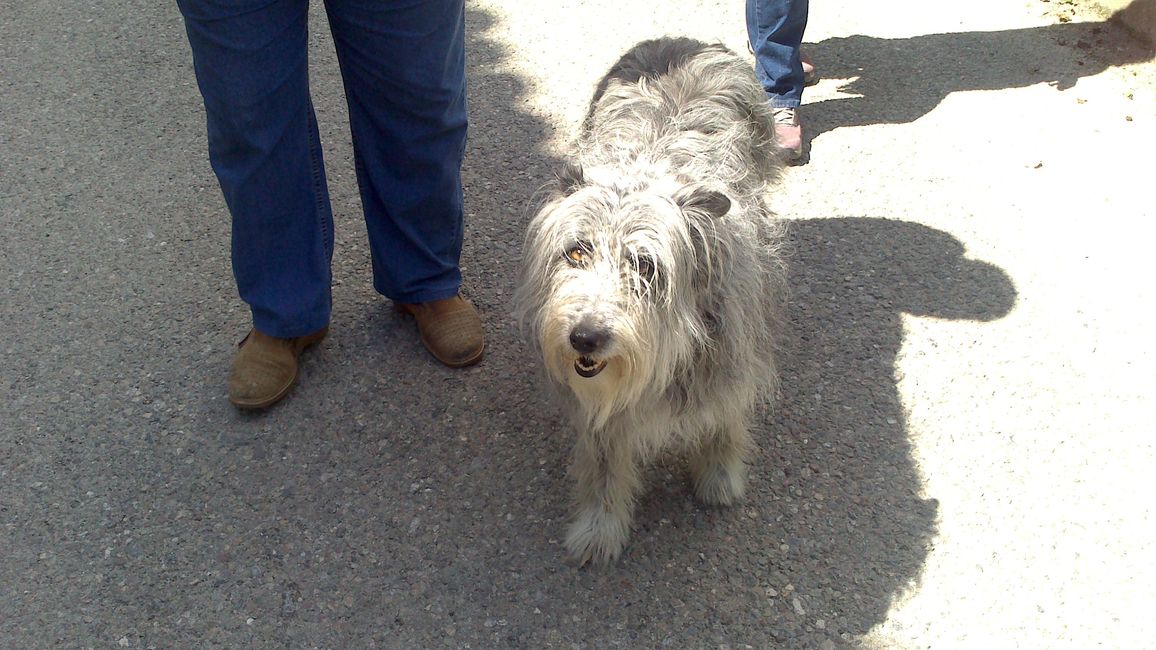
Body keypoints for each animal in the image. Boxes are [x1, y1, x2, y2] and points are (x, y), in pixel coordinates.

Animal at [515, 36, 786, 562]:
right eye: (576, 251)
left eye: (645, 265)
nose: (584, 338)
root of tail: (682, 42)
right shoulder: (597, 400)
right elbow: (602, 458)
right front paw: (599, 525)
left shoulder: (728, 354)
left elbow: (724, 414)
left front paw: (719, 474)